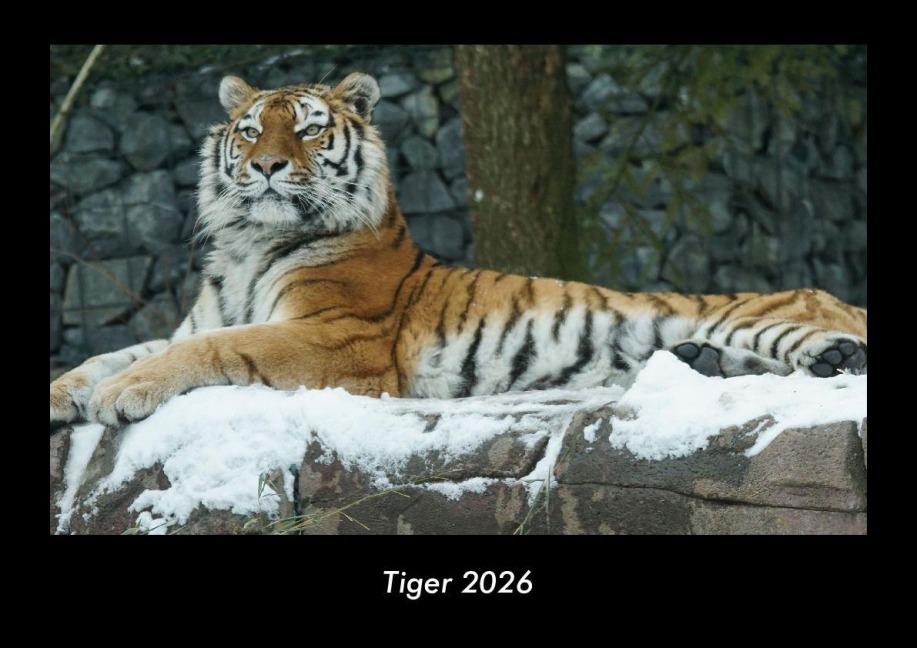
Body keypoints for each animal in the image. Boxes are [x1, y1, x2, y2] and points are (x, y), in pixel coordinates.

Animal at [49, 71, 867, 430]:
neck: (251, 243)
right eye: (250, 130)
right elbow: (108, 353)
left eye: (308, 129)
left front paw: (123, 396)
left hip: (767, 315)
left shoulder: (337, 337)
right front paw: (72, 391)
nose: (267, 166)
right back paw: (707, 363)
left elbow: (212, 350)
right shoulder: (201, 318)